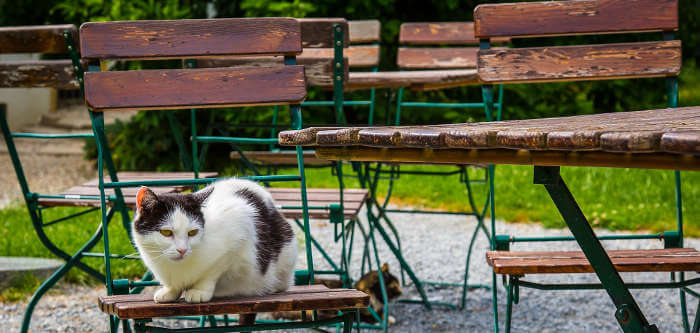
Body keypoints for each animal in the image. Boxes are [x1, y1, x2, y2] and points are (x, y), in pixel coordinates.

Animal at [131, 178, 296, 302]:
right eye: (166, 232)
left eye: (192, 232)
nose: (182, 250)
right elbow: (174, 285)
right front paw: (170, 291)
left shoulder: (238, 231)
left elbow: (212, 271)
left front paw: (199, 290)